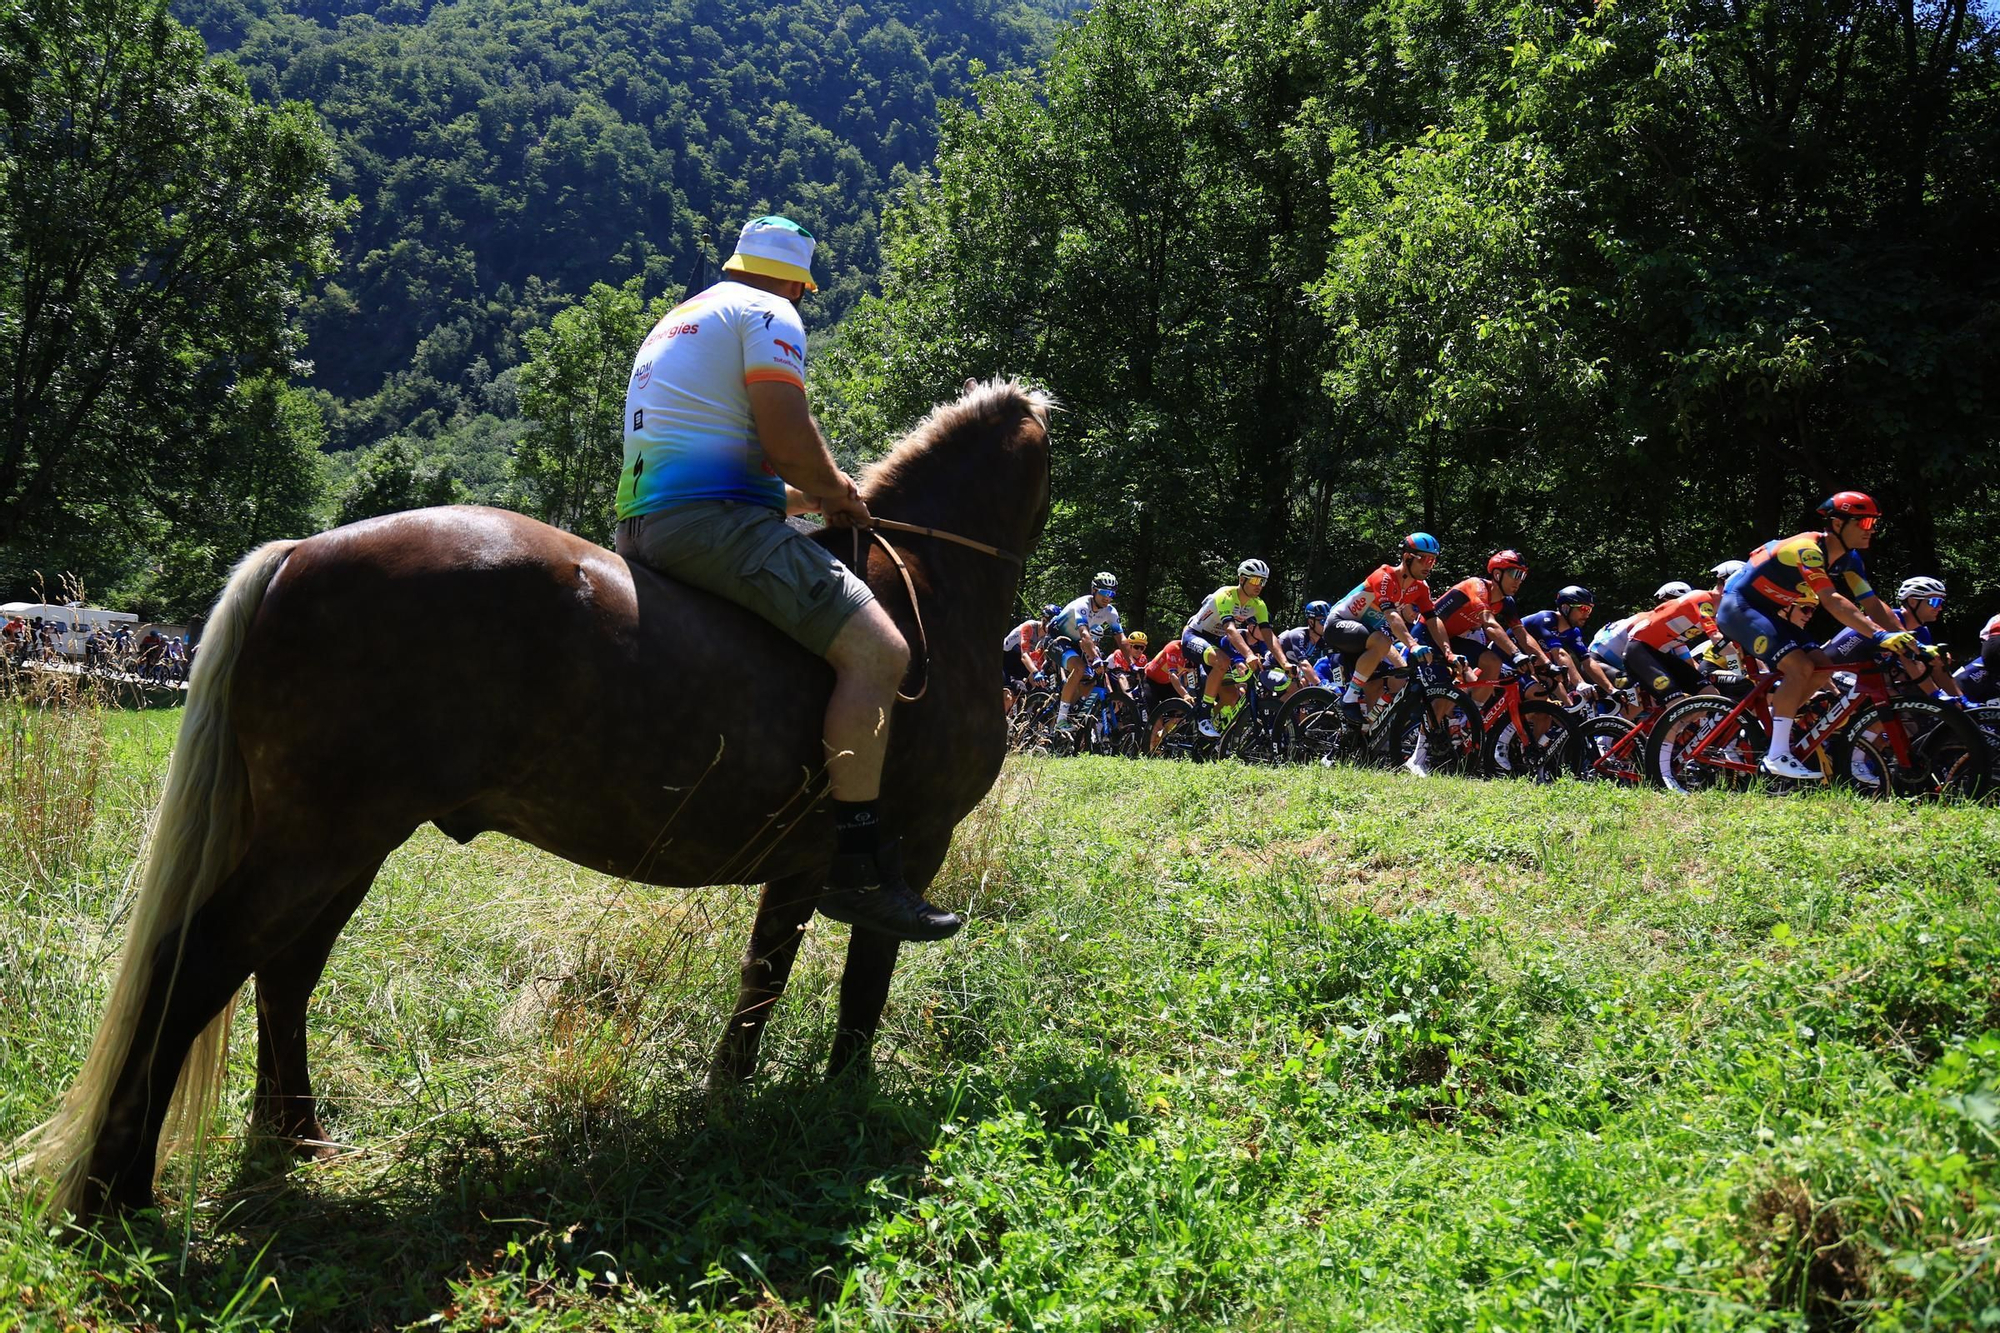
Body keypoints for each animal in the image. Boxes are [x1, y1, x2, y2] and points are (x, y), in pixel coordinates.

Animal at [0, 374, 1056, 1216]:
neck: (929, 589)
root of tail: (302, 552)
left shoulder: (799, 867)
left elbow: (763, 981)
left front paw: (732, 1098)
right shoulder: (911, 848)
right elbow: (865, 978)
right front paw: (848, 1093)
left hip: (341, 846)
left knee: (283, 972)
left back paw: (293, 1137)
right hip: (319, 845)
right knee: (202, 962)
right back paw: (115, 1189)